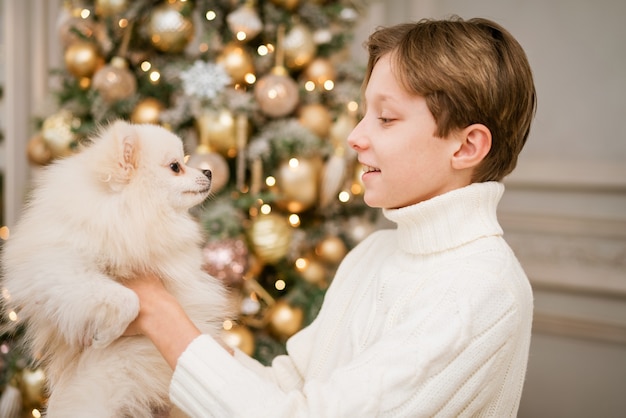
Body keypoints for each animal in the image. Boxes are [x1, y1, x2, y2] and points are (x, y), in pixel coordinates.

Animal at [0, 119, 229, 416]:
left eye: (187, 160)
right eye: (176, 166)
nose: (209, 171)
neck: (124, 211)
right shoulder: (59, 270)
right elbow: (128, 299)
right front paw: (107, 334)